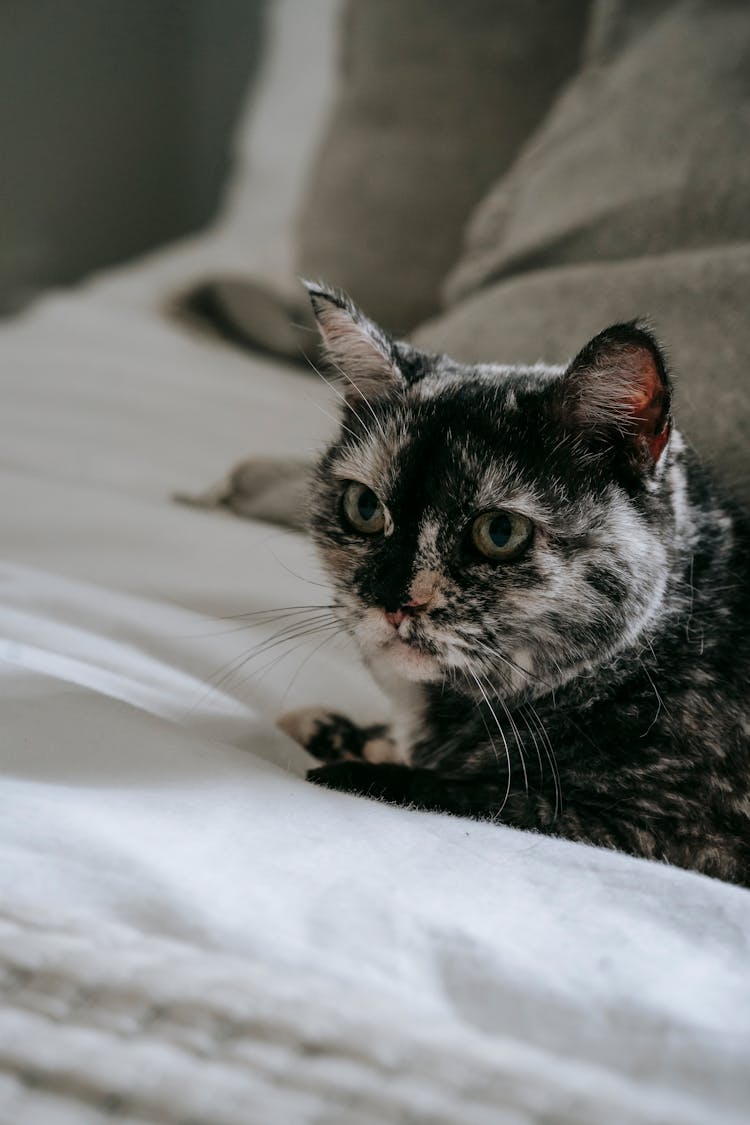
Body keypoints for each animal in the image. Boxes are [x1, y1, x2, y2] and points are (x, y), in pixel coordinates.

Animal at [277, 281, 750, 886]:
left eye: (499, 532)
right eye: (362, 507)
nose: (392, 601)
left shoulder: (680, 836)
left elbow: (478, 797)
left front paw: (350, 765)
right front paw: (338, 730)